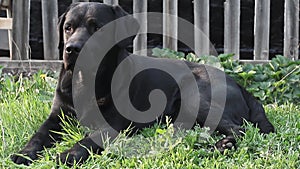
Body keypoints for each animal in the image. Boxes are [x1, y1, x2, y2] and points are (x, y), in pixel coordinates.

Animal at [11, 2, 274, 166]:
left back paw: (222, 145)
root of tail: (240, 85)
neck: (87, 78)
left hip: (195, 95)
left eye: (98, 28)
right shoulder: (58, 115)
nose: (72, 49)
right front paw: (23, 154)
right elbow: (37, 135)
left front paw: (63, 156)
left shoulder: (113, 125)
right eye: (68, 28)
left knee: (238, 128)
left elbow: (85, 141)